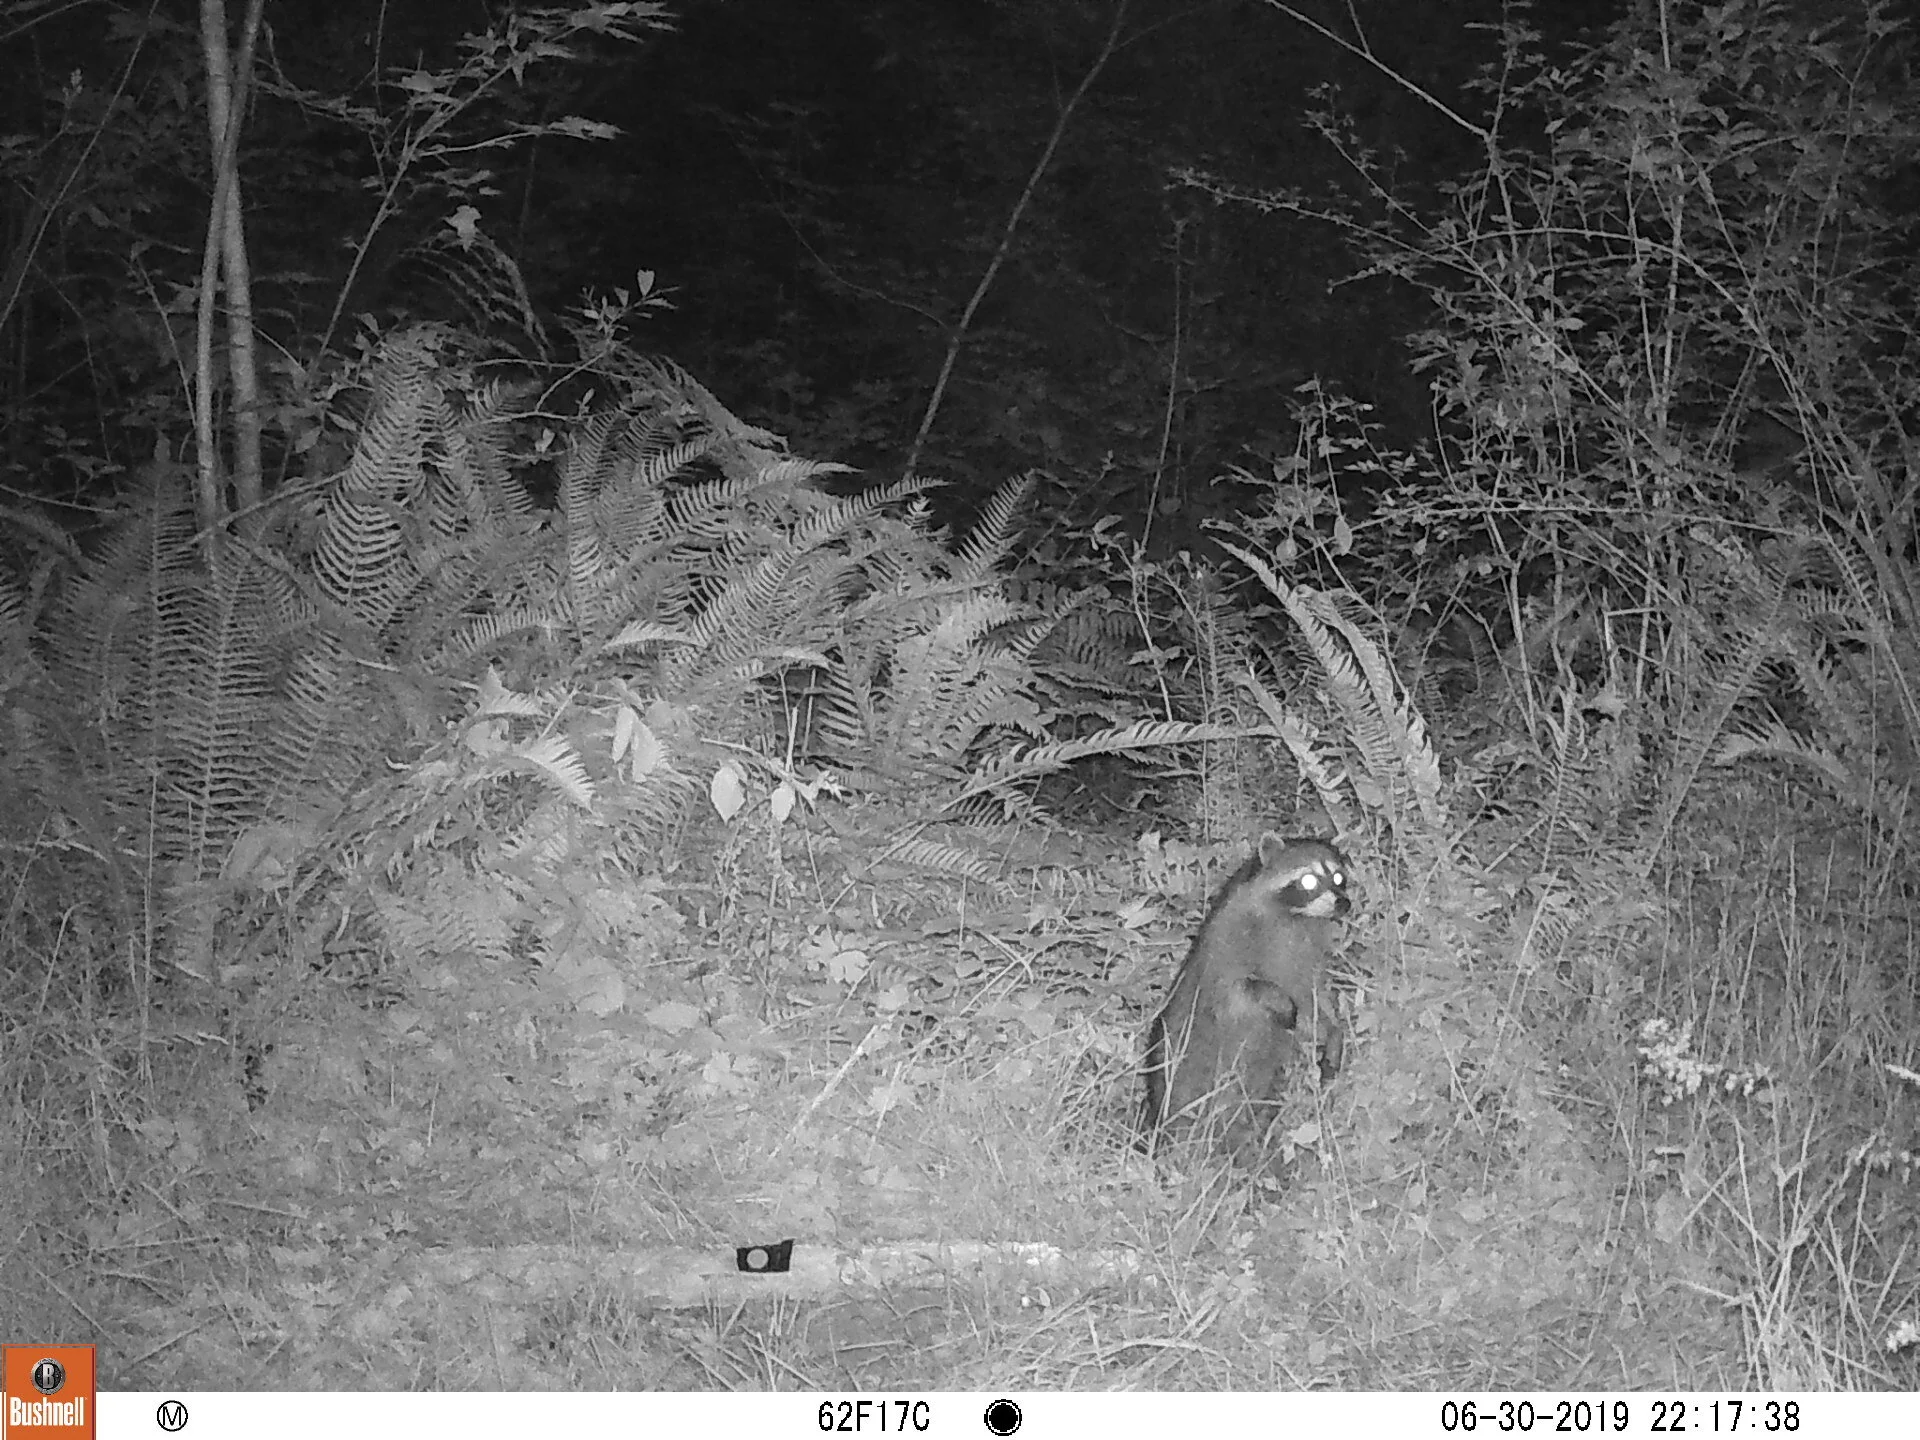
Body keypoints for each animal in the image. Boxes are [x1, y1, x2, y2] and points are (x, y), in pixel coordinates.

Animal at [1141, 834, 1350, 1153]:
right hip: (1184, 1078)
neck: (1295, 916)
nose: (1344, 903)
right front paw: (1277, 999)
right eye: (1309, 880)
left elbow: (1314, 996)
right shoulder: (1228, 945)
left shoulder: (1306, 960)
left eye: (1339, 877)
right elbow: (1239, 988)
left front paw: (1334, 1031)